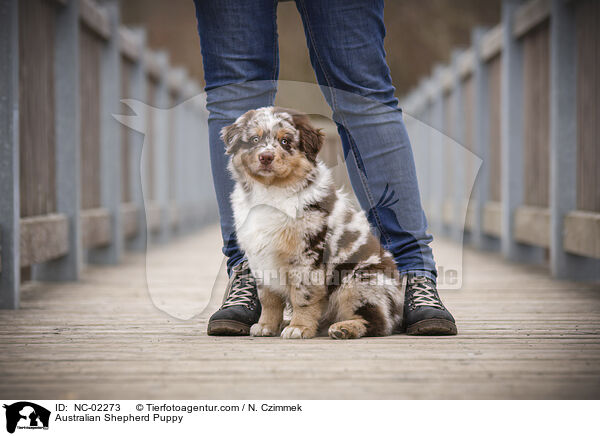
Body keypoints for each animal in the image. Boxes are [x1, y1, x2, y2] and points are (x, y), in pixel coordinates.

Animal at [220, 107, 404, 338]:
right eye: (254, 139)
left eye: (285, 141)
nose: (266, 157)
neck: (272, 191)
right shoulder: (260, 257)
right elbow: (268, 298)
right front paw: (266, 325)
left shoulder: (307, 254)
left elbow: (303, 296)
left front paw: (299, 327)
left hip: (359, 282)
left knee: (377, 321)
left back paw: (344, 328)